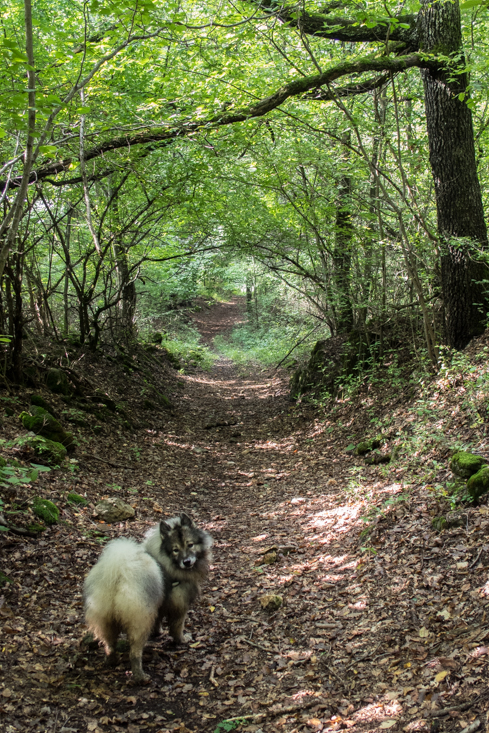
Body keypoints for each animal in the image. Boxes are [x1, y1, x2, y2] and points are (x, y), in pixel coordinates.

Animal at [83, 516, 212, 680]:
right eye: (175, 550)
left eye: (190, 545)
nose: (187, 562)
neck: (165, 559)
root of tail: (119, 575)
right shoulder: (179, 605)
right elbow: (177, 627)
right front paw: (182, 640)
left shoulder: (158, 605)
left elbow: (158, 621)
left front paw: (158, 632)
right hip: (140, 621)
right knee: (134, 652)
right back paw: (140, 676)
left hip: (106, 619)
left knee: (109, 645)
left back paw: (112, 660)